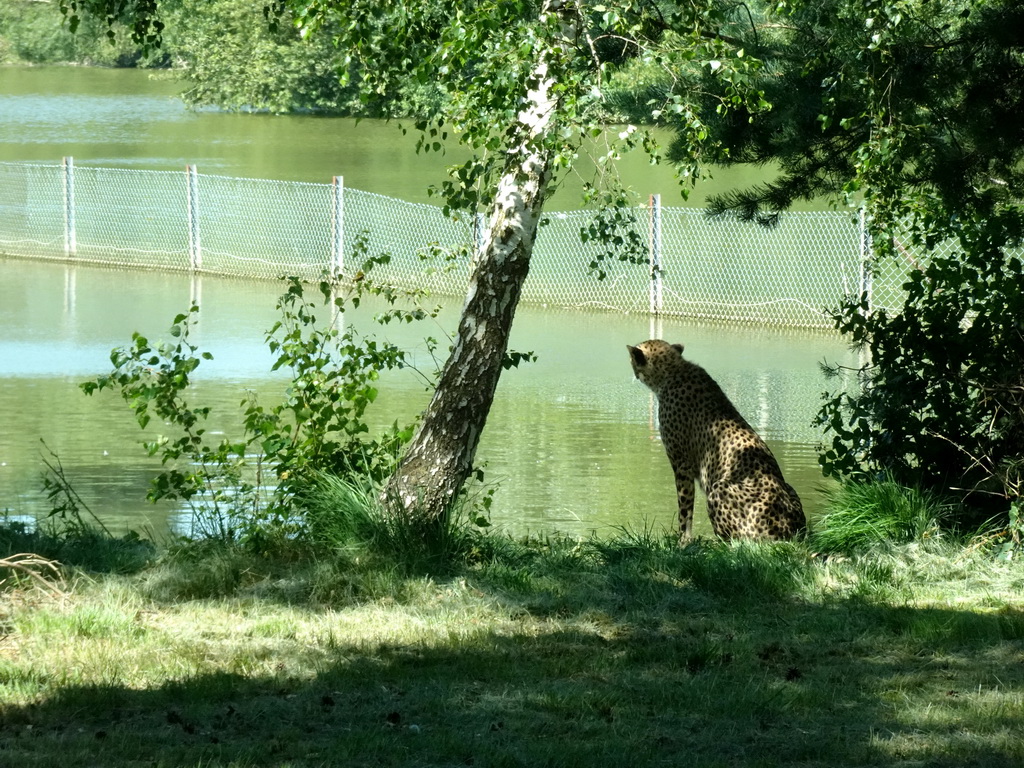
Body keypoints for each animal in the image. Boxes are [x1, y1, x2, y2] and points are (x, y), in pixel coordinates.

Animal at [626, 339, 802, 544]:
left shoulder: (682, 464)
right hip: (789, 489)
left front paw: (683, 541)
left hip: (719, 488)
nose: (632, 369)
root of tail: (789, 532)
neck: (673, 371)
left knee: (734, 542)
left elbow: (685, 508)